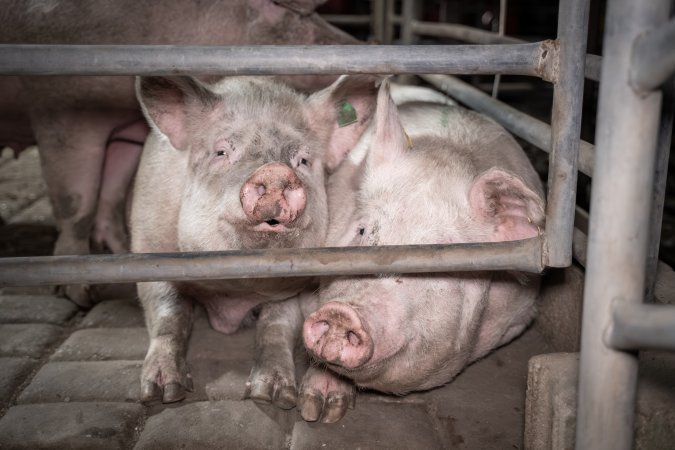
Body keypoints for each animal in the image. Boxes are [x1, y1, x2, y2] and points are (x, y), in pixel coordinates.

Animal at [0, 0, 360, 306]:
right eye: (295, 13)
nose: (350, 45)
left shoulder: (128, 132)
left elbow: (113, 190)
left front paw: (122, 253)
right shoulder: (62, 110)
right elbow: (76, 202)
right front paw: (79, 296)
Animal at [132, 74, 382, 404]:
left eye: (303, 160)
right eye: (221, 152)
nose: (275, 172)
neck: (235, 289)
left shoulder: (295, 285)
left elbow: (275, 324)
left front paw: (272, 395)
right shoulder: (147, 249)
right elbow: (169, 314)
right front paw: (162, 393)